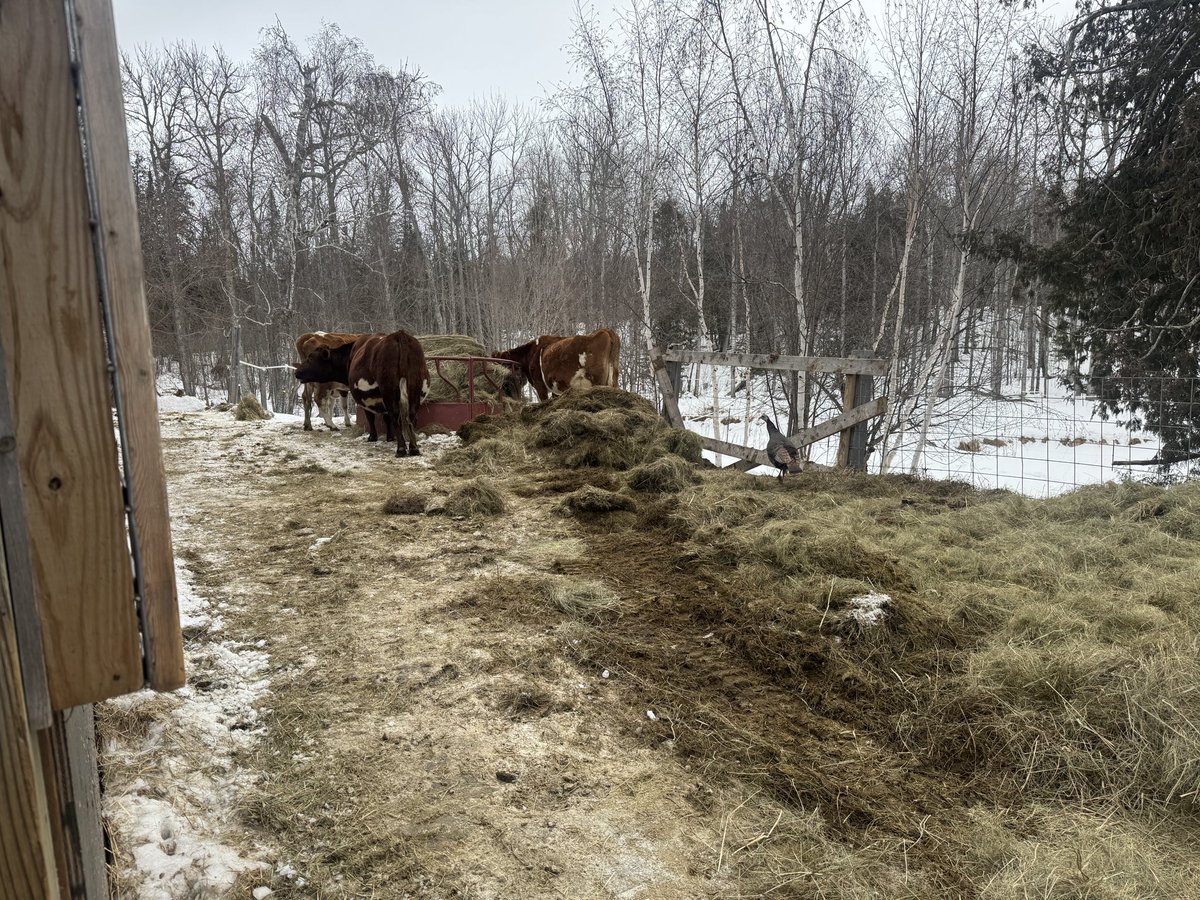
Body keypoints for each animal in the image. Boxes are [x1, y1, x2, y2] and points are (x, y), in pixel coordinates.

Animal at [295, 330, 429, 457]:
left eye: (311, 359)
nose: (297, 372)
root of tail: (399, 335)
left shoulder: (366, 396)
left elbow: (370, 415)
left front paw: (374, 437)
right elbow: (383, 416)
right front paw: (389, 437)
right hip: (412, 389)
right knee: (409, 415)